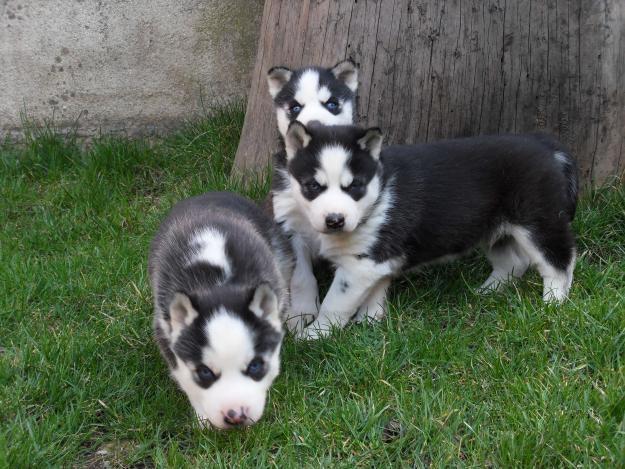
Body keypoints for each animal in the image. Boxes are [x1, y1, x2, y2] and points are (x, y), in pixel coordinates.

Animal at [148, 191, 292, 428]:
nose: (236, 416)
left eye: (255, 366)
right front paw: (203, 417)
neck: (217, 284)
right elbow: (187, 381)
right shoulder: (164, 329)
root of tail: (207, 194)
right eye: (205, 372)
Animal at [266, 59, 358, 330]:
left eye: (332, 104)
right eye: (295, 107)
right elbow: (301, 278)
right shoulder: (288, 225)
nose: (314, 125)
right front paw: (302, 313)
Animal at [280, 122, 576, 338]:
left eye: (354, 186)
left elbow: (335, 303)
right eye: (313, 186)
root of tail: (543, 144)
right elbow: (373, 293)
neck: (378, 194)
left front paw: (314, 334)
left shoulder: (360, 266)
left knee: (560, 263)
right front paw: (369, 321)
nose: (335, 220)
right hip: (492, 229)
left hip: (538, 222)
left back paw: (553, 303)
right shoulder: (378, 261)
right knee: (514, 262)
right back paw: (487, 291)